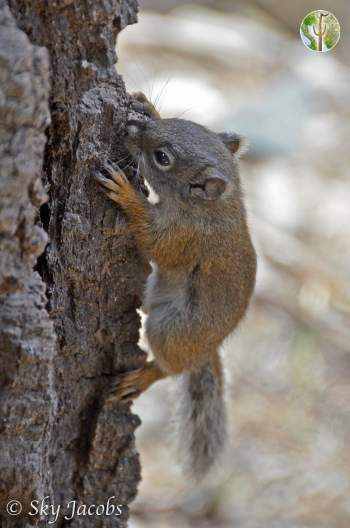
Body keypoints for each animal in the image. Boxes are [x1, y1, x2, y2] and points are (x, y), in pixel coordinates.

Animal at [95, 93, 258, 480]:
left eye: (162, 158)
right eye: (185, 123)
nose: (131, 128)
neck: (214, 207)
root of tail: (205, 351)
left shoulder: (187, 238)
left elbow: (156, 244)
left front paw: (126, 193)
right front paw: (146, 104)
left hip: (172, 330)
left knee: (168, 368)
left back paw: (142, 376)